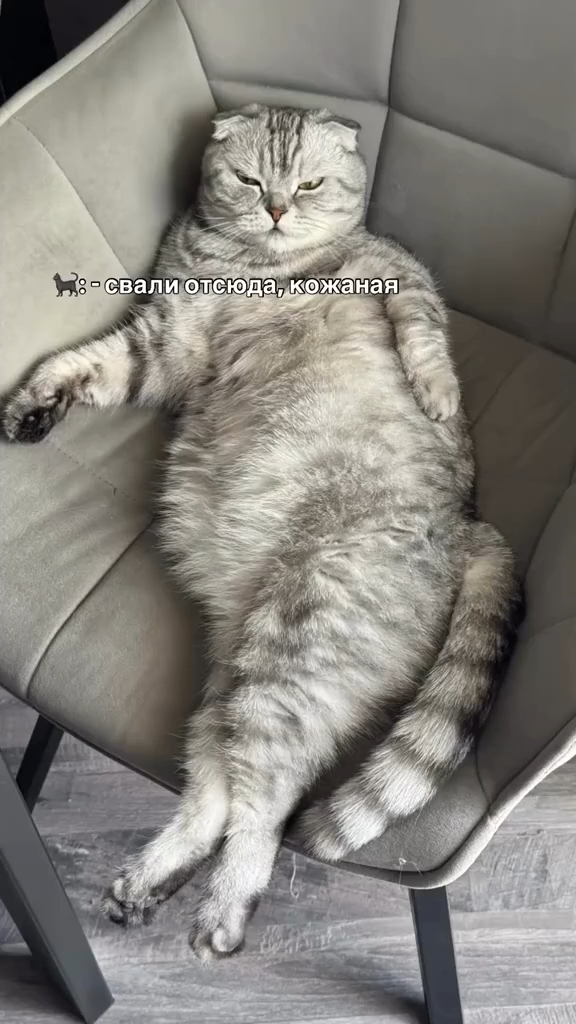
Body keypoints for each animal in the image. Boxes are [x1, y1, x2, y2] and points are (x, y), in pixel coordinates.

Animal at [1, 105, 522, 960]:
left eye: (307, 185)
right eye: (250, 181)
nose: (277, 210)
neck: (244, 260)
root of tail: (469, 530)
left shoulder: (397, 270)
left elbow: (423, 334)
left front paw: (438, 397)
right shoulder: (162, 343)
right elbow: (81, 363)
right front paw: (34, 407)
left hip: (293, 646)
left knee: (269, 804)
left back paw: (224, 910)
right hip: (237, 671)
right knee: (219, 786)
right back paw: (149, 884)